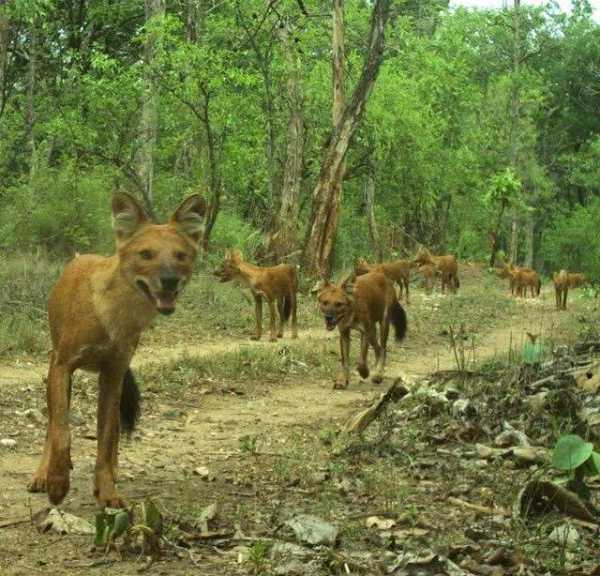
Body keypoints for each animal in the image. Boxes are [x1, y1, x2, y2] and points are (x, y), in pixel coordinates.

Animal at [28, 191, 206, 506]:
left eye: (181, 256)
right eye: (145, 254)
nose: (170, 280)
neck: (116, 316)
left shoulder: (113, 373)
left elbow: (106, 437)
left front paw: (107, 489)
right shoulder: (63, 365)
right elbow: (62, 431)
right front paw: (57, 482)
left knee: (111, 435)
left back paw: (113, 471)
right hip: (57, 369)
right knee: (52, 424)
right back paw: (42, 475)